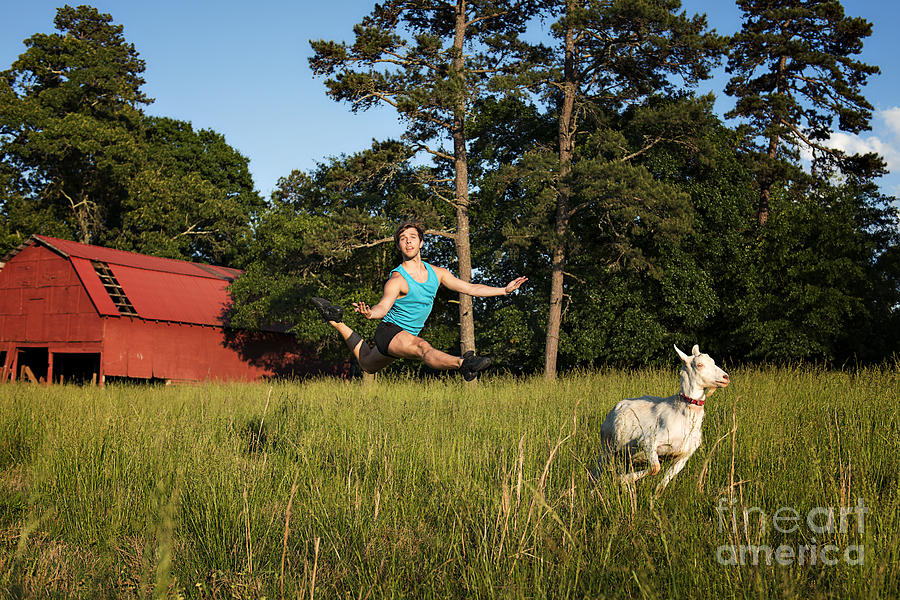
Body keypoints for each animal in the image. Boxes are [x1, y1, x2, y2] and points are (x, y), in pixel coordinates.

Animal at [596, 344, 732, 494]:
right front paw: (623, 480)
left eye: (713, 361)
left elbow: (662, 484)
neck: (682, 414)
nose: (725, 377)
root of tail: (616, 407)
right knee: (596, 472)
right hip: (606, 448)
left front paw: (653, 498)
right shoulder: (649, 441)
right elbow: (655, 468)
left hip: (624, 455)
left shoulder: (683, 456)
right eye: (699, 364)